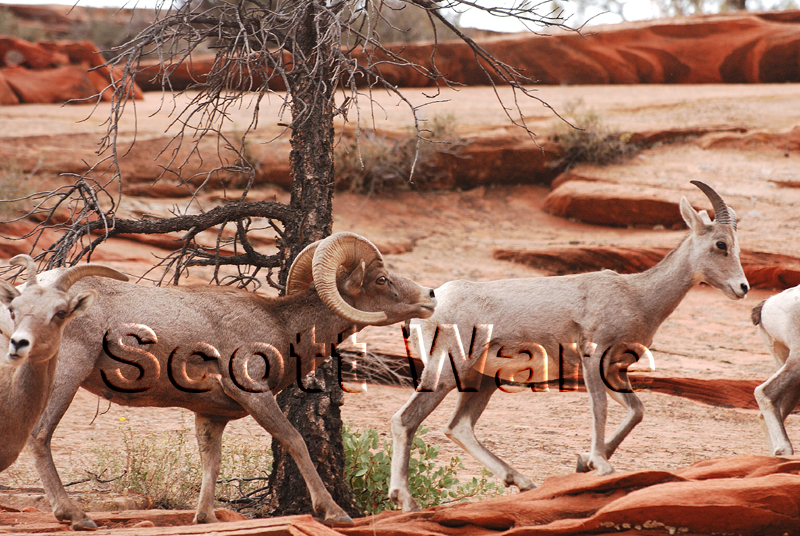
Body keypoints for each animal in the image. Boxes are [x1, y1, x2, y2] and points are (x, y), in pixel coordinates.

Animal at [25, 232, 436, 530]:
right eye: (381, 279)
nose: (431, 296)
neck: (282, 327)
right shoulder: (255, 395)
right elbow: (295, 441)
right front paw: (334, 512)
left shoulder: (211, 416)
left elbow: (212, 462)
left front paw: (204, 518)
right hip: (67, 373)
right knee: (40, 434)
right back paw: (76, 517)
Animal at [389, 181, 749, 512]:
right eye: (721, 244)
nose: (743, 288)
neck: (637, 296)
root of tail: (431, 305)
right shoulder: (593, 359)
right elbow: (599, 408)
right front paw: (600, 464)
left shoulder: (614, 371)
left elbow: (636, 411)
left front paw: (584, 462)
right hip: (447, 372)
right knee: (405, 420)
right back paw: (406, 501)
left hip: (483, 381)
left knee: (459, 427)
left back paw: (523, 482)